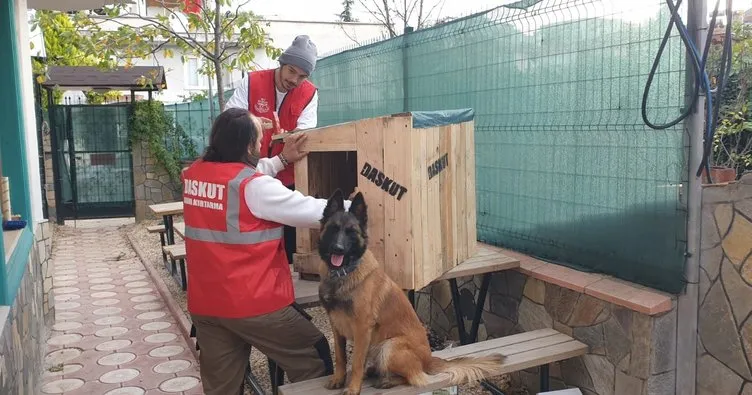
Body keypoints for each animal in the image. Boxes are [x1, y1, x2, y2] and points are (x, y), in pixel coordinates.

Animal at [318, 190, 506, 394]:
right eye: (334, 229)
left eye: (351, 232)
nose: (338, 249)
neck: (343, 273)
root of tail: (429, 360)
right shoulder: (336, 325)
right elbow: (340, 357)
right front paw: (338, 379)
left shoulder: (362, 328)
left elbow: (357, 363)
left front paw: (353, 388)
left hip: (389, 347)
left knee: (413, 376)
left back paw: (386, 381)